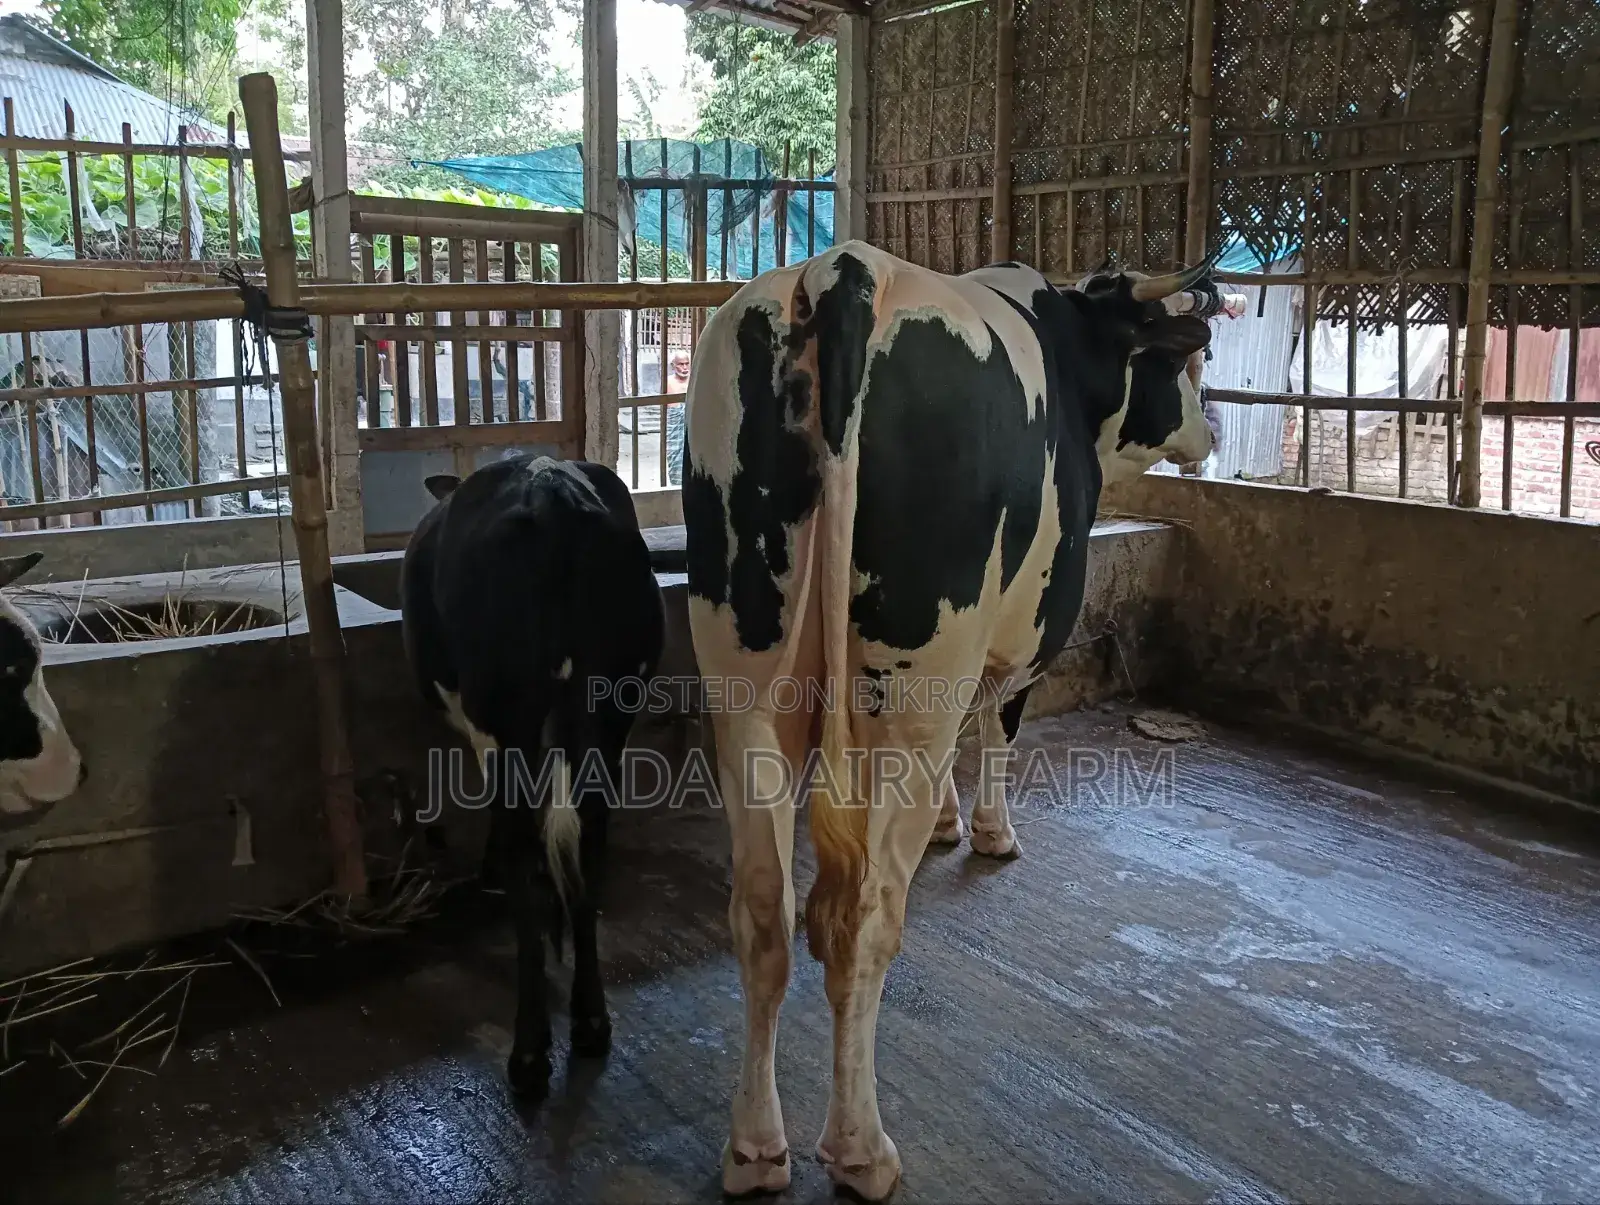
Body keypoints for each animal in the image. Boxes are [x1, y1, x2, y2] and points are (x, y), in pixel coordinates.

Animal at [400, 453, 665, 1097]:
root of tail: (551, 491)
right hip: (612, 708)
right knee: (590, 840)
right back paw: (591, 1021)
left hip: (507, 713)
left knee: (526, 843)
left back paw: (529, 1052)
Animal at [681, 240, 1217, 1198]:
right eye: (1182, 362)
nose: (1210, 433)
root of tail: (844, 270)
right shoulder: (1029, 625)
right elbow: (998, 723)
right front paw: (988, 832)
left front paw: (941, 822)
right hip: (910, 686)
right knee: (864, 922)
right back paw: (862, 1148)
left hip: (744, 683)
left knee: (763, 909)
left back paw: (755, 1146)